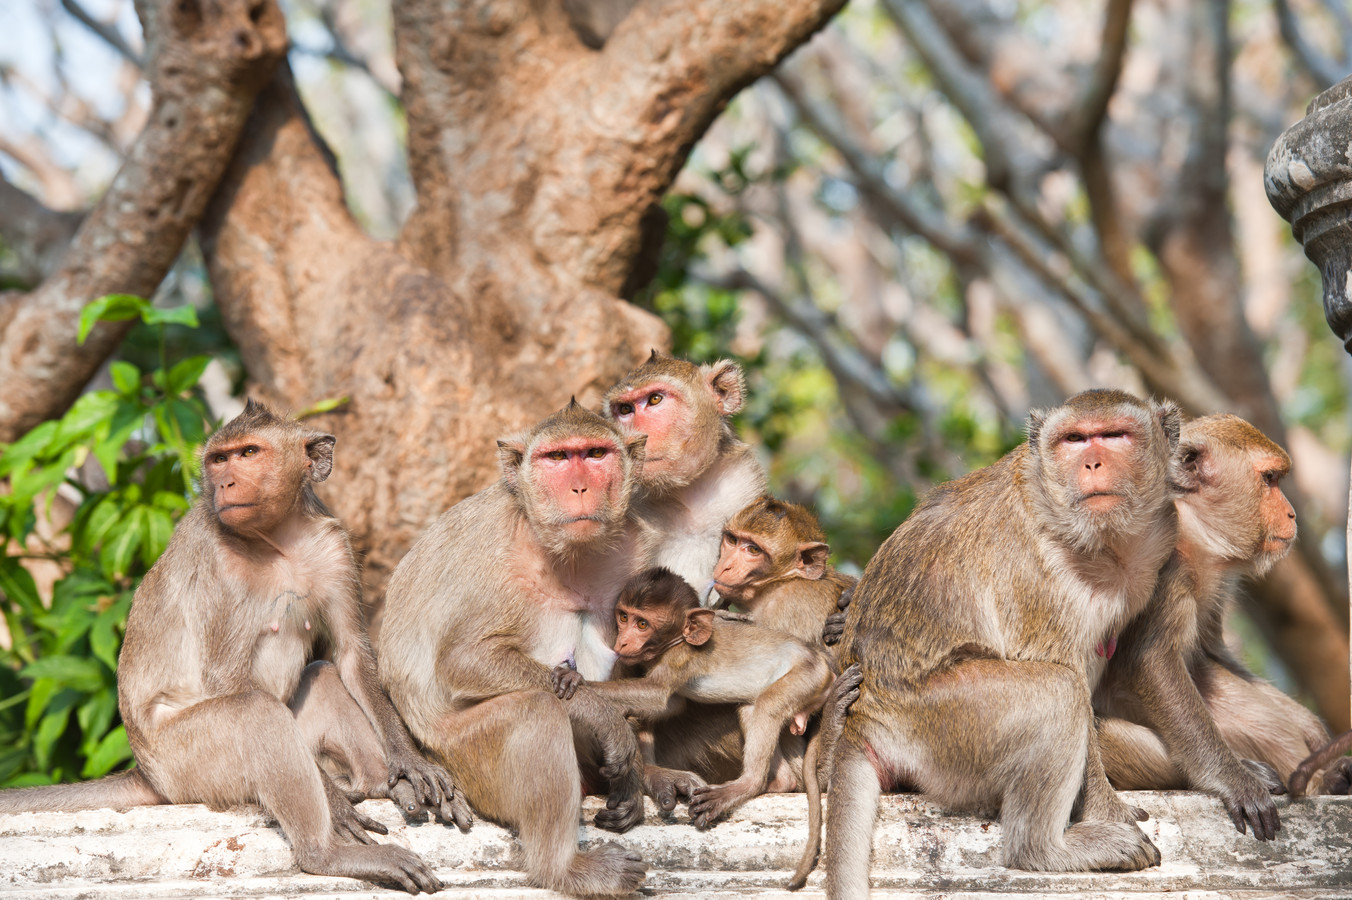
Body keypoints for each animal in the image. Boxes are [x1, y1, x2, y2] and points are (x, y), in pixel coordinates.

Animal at [0, 400, 459, 891]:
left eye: (249, 453)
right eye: (218, 460)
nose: (224, 483)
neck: (278, 539)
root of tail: (148, 772)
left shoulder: (334, 546)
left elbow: (351, 655)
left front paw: (410, 763)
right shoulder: (217, 562)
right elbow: (229, 680)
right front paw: (336, 805)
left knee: (321, 675)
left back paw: (377, 783)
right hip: (189, 763)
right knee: (257, 712)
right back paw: (327, 853)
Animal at [381, 400, 654, 897]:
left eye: (595, 453)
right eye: (557, 458)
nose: (580, 487)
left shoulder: (635, 548)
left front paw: (636, 773)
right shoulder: (494, 558)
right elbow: (463, 659)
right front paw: (603, 715)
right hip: (463, 755)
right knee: (537, 712)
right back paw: (564, 869)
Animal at [548, 567, 832, 827]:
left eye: (642, 624)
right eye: (624, 616)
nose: (623, 641)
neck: (678, 640)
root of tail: (825, 666)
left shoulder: (680, 658)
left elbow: (658, 695)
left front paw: (577, 679)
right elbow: (670, 705)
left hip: (807, 675)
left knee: (767, 707)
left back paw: (746, 785)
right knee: (750, 708)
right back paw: (780, 781)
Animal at [811, 386, 1173, 891]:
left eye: (1115, 435)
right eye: (1075, 440)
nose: (1093, 463)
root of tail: (865, 717)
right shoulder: (1038, 578)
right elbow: (1067, 674)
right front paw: (1109, 809)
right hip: (945, 720)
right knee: (1058, 690)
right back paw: (1044, 850)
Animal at [1097, 410, 1352, 821]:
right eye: (1269, 479)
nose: (1292, 513)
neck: (1190, 533)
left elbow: (1213, 654)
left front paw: (1315, 733)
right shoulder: (1160, 565)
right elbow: (1150, 660)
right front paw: (1234, 781)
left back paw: (1328, 779)